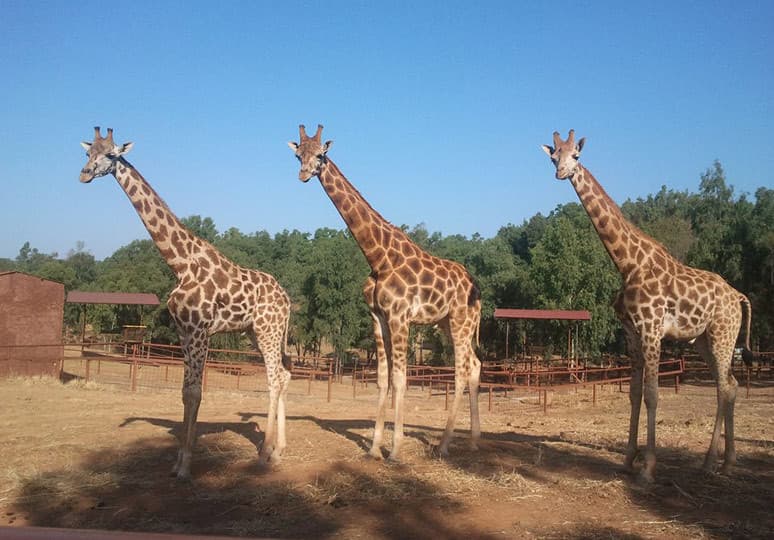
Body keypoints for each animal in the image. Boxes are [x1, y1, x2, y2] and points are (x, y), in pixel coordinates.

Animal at [80, 129, 294, 478]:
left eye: (110, 154)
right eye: (88, 153)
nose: (84, 174)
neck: (180, 263)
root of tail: (287, 298)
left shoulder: (199, 330)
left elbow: (195, 392)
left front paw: (186, 466)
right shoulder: (183, 331)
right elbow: (184, 393)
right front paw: (176, 461)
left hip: (268, 330)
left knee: (275, 378)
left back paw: (264, 454)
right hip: (256, 332)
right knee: (284, 375)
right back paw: (279, 450)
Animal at [288, 124, 482, 458]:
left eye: (320, 155)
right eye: (298, 154)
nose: (303, 174)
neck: (378, 258)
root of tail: (479, 290)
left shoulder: (400, 317)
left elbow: (401, 379)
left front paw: (395, 450)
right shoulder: (377, 317)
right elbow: (382, 379)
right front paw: (374, 447)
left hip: (460, 322)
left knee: (461, 371)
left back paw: (444, 445)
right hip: (447, 323)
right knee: (475, 366)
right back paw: (473, 440)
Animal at [544, 130, 756, 480]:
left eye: (576, 155)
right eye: (553, 157)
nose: (561, 173)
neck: (628, 263)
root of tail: (738, 296)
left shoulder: (652, 329)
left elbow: (653, 395)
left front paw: (648, 468)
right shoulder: (632, 333)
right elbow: (633, 394)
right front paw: (628, 459)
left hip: (724, 336)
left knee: (725, 387)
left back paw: (713, 461)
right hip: (704, 340)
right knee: (731, 384)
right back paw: (726, 460)